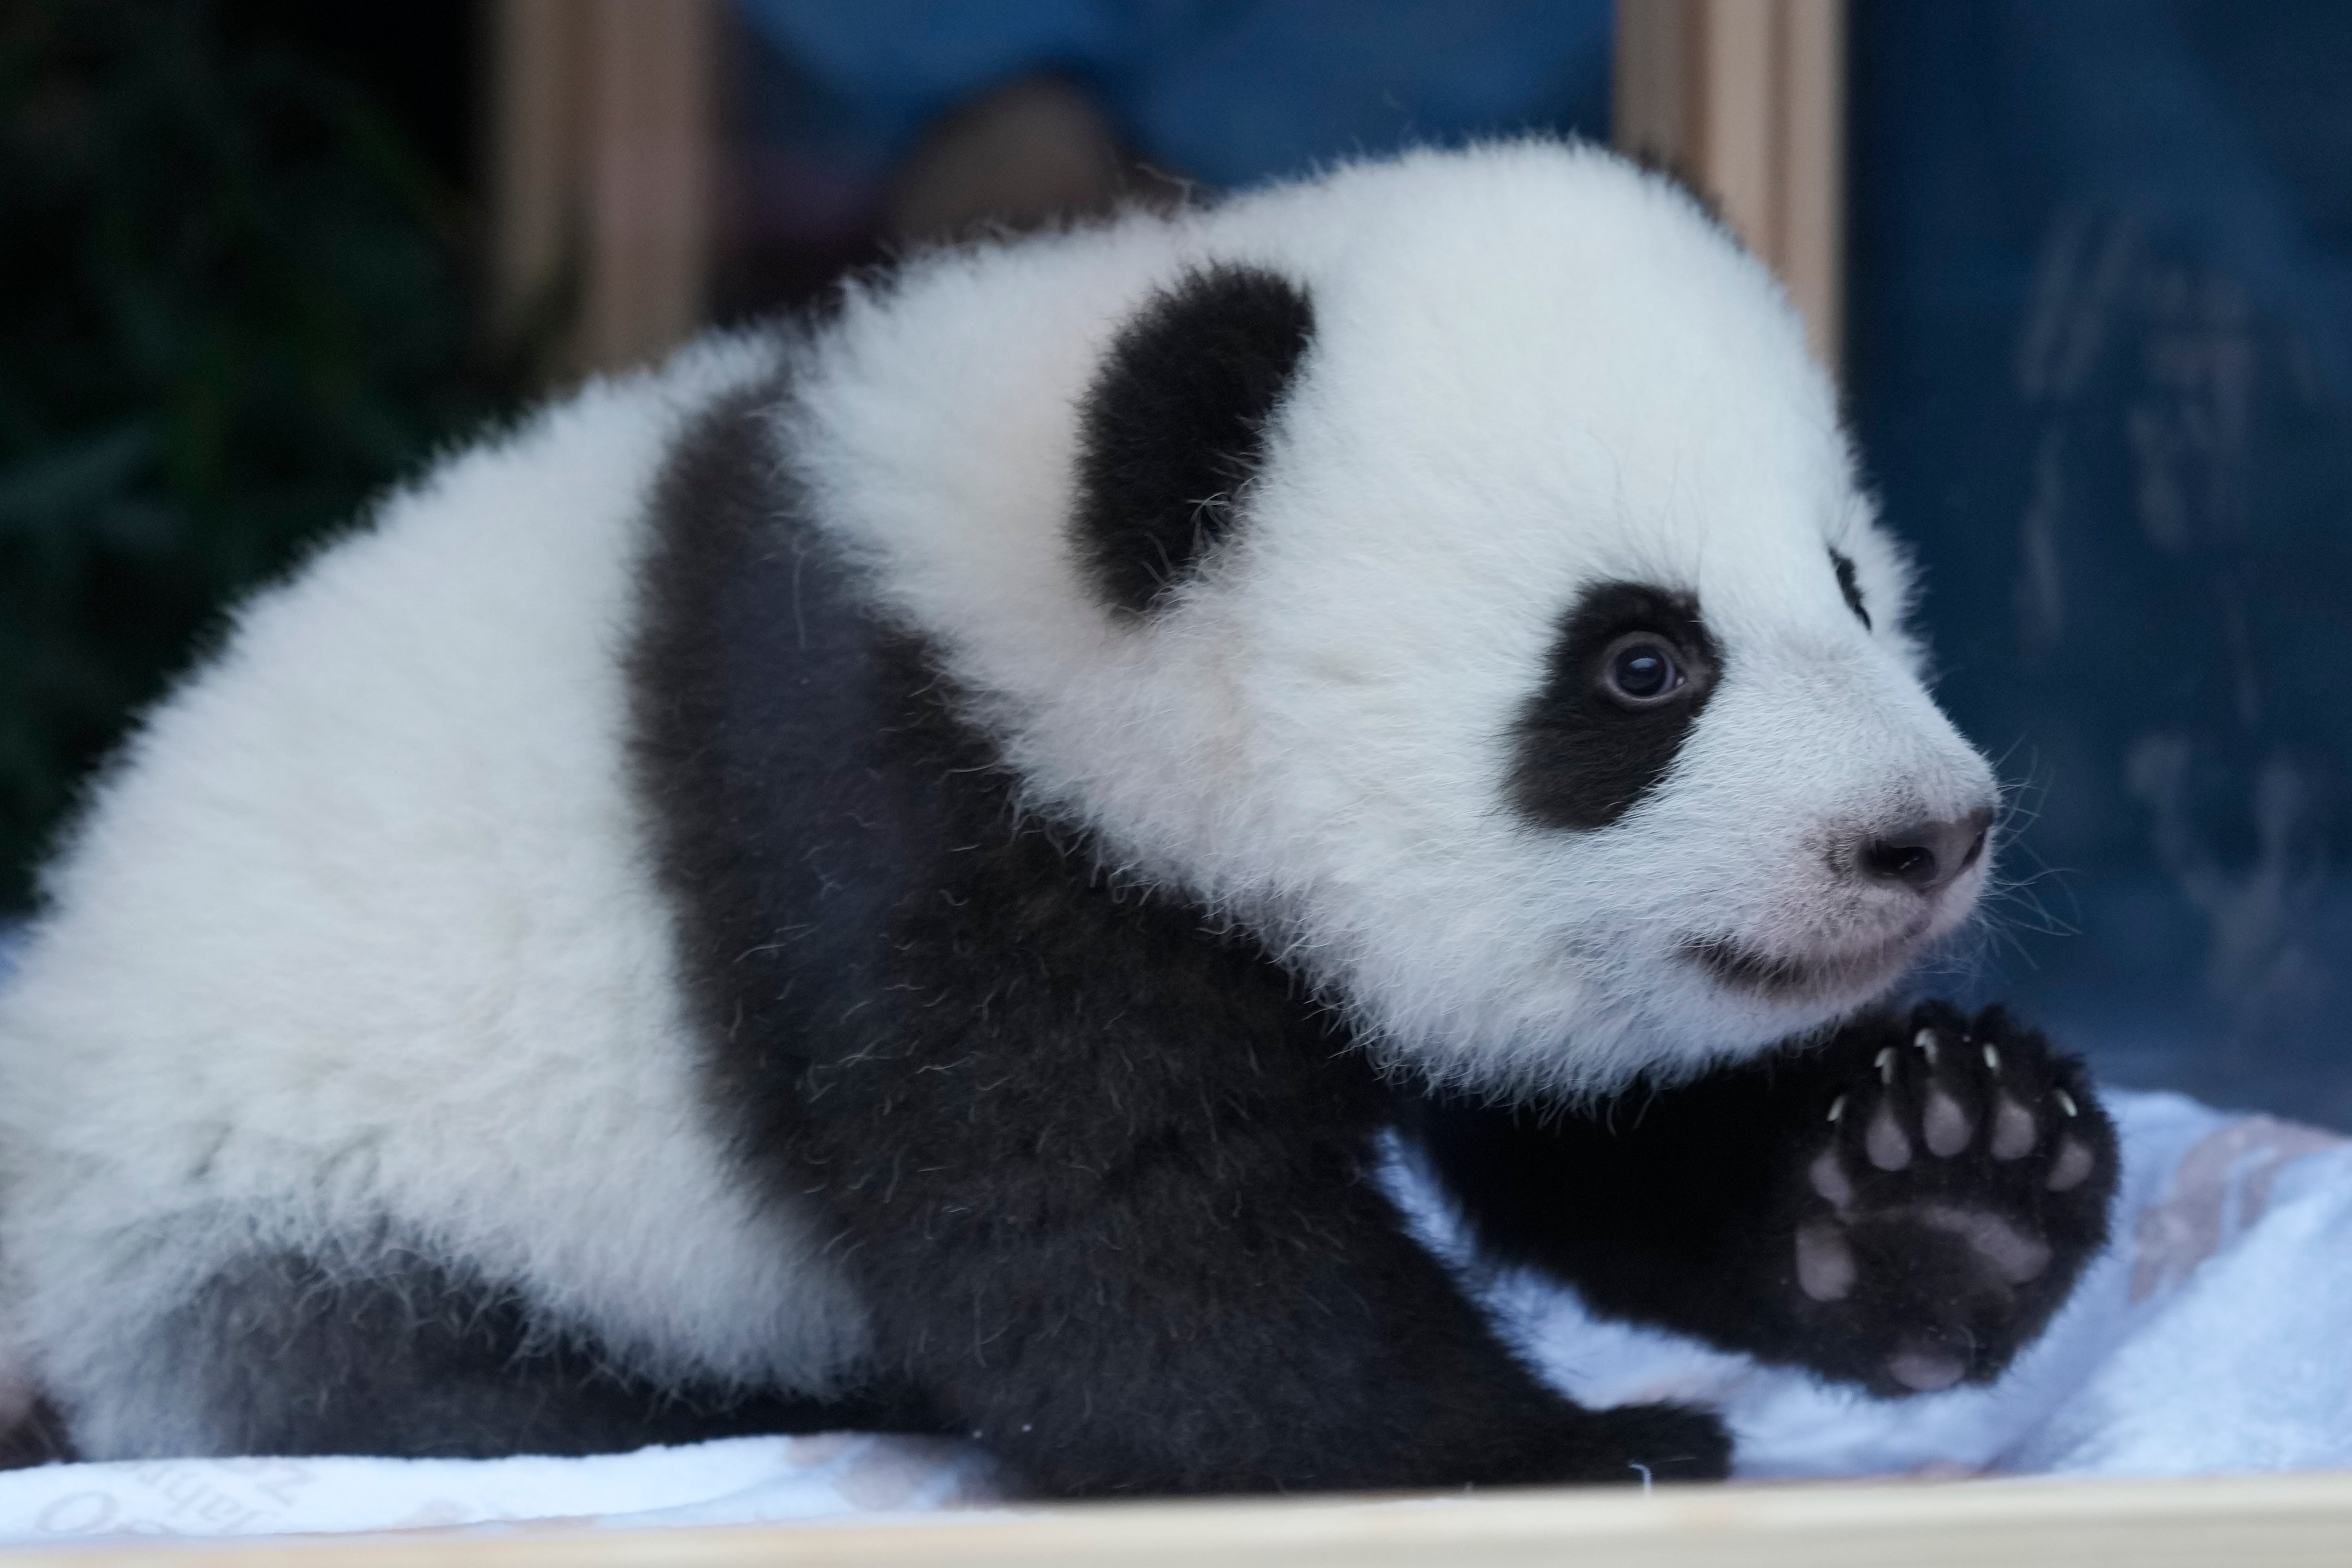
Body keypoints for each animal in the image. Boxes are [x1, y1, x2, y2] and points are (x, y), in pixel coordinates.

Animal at [0, 140, 2115, 1495]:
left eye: (1849, 587)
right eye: (1640, 665)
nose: (1929, 833)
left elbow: (1582, 1143)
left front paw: (1943, 1177)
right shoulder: (896, 818)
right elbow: (1114, 1257)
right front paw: (1576, 1446)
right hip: (307, 1218)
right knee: (450, 1380)